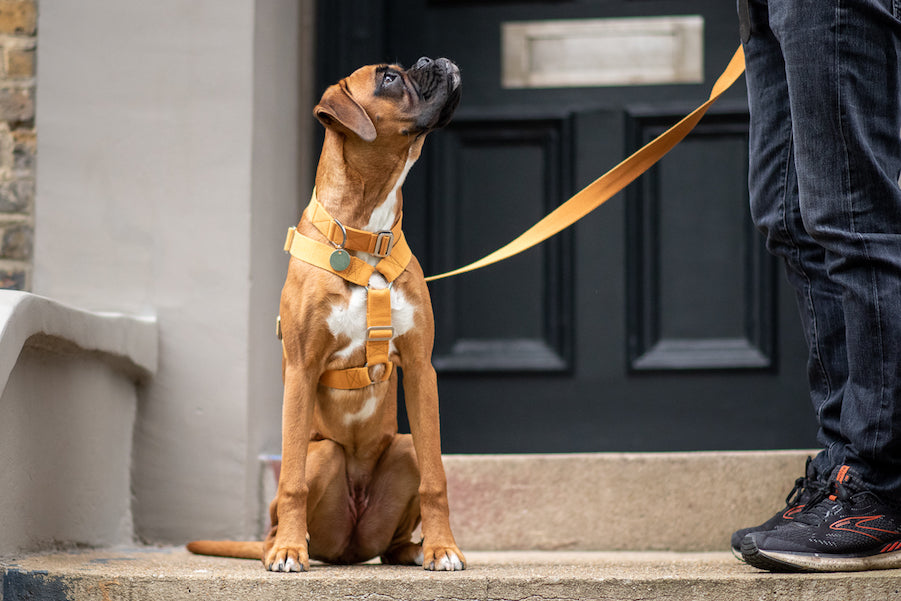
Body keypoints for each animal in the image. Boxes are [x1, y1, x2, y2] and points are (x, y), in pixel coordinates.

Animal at [184, 57, 464, 572]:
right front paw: (290, 551)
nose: (433, 60)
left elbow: (437, 478)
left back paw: (414, 550)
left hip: (404, 450)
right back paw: (283, 545)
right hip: (325, 455)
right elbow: (291, 477)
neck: (363, 234)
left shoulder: (420, 369)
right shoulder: (302, 368)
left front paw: (442, 548)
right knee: (284, 508)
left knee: (395, 535)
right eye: (389, 78)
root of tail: (350, 548)